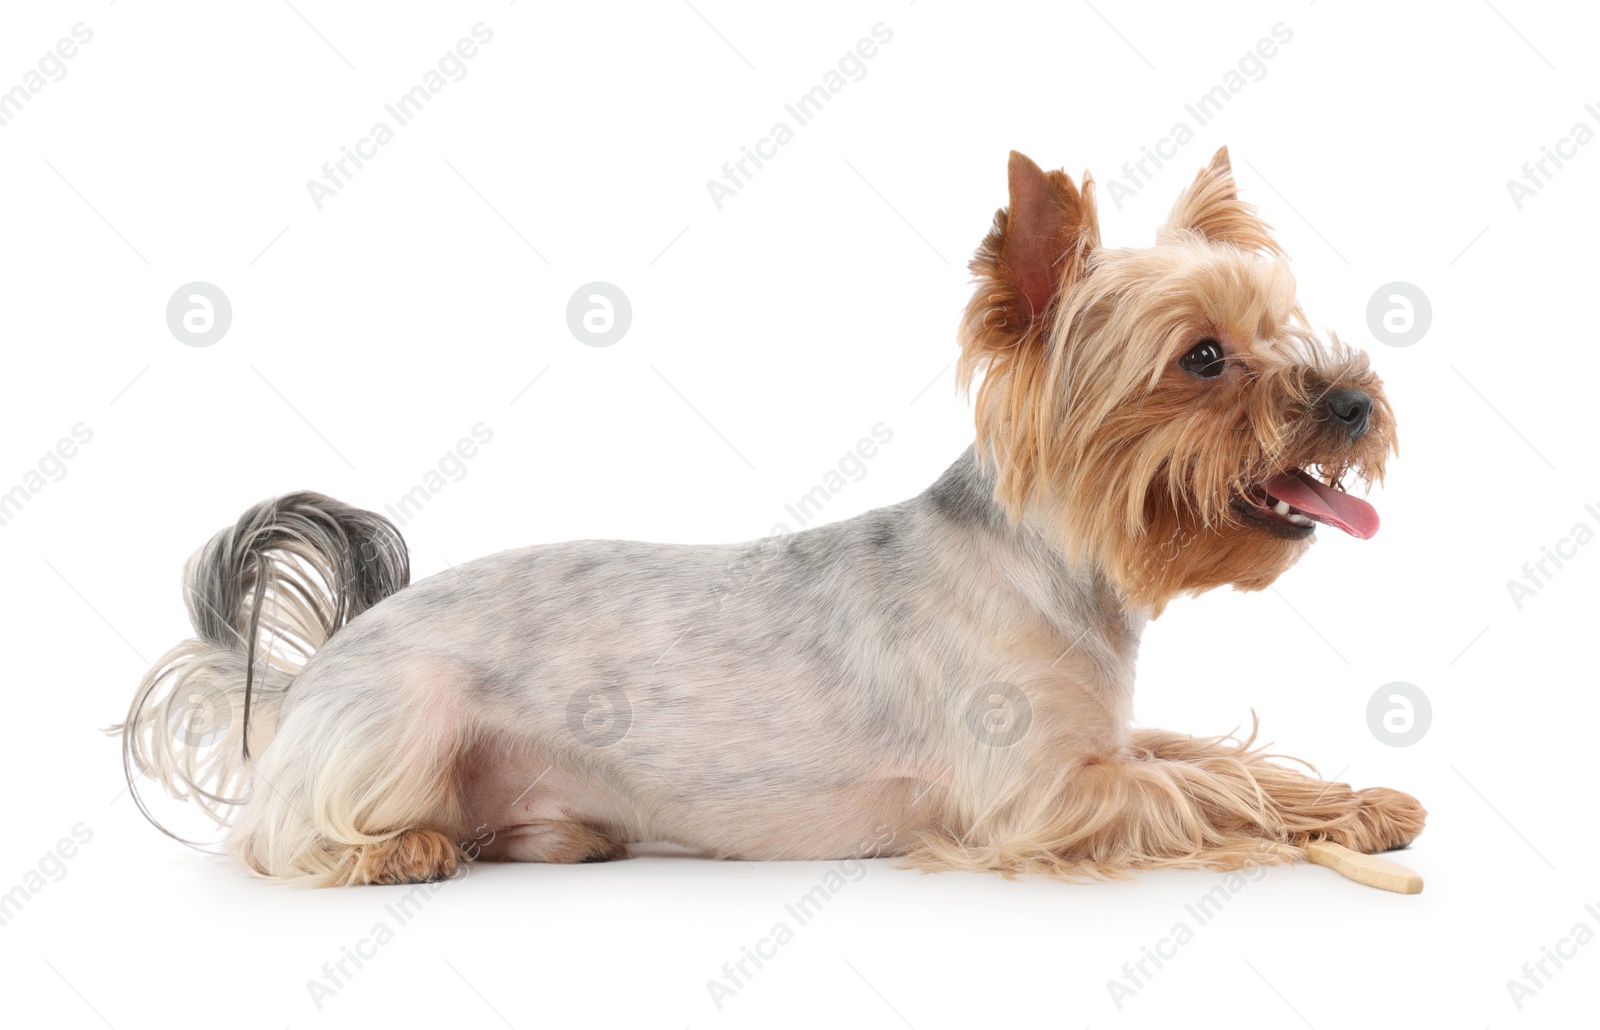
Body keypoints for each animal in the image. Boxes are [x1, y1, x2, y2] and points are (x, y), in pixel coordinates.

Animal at [121, 144, 1427, 882]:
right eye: (1203, 358)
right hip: (407, 717)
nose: (1356, 400)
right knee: (275, 839)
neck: (1052, 562)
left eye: (1282, 331)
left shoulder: (1102, 741)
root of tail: (312, 669)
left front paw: (1359, 800)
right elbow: (1211, 790)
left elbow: (1217, 753)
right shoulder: (1047, 797)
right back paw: (397, 850)